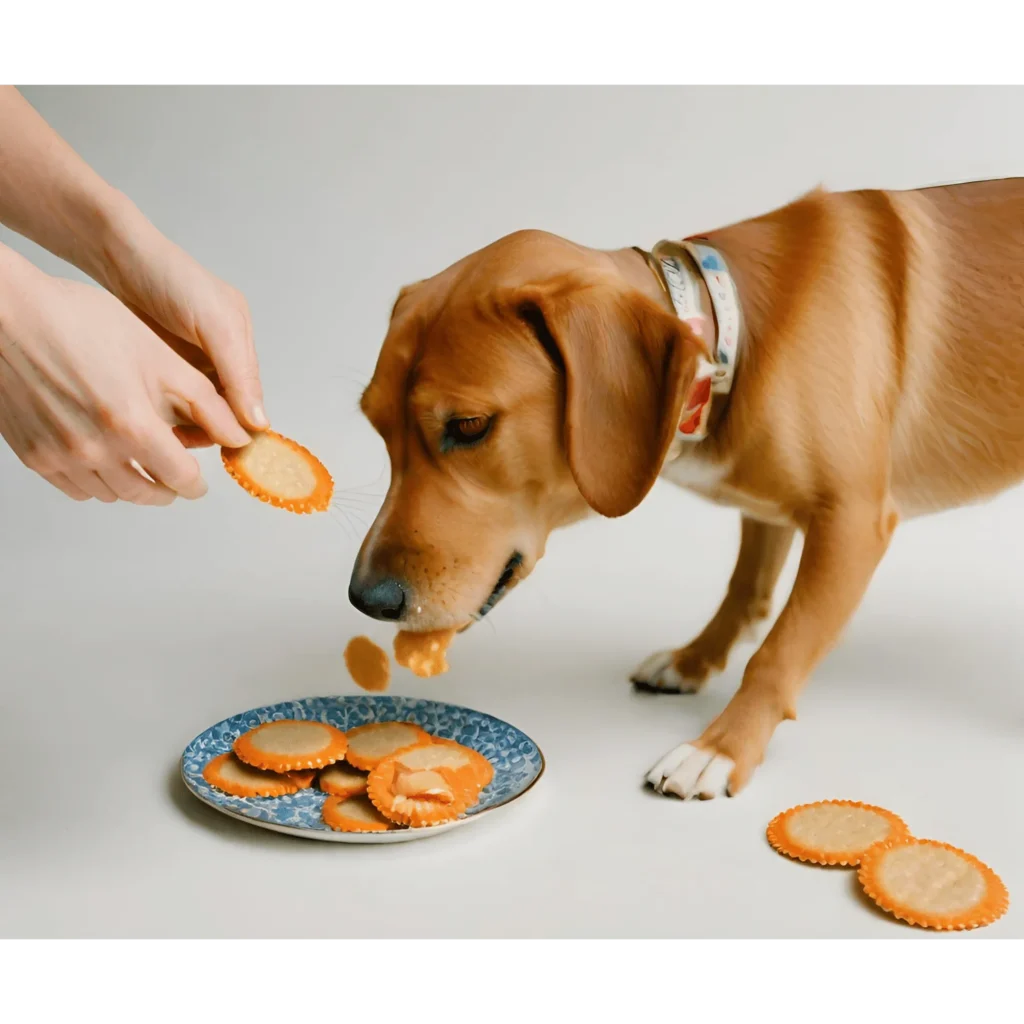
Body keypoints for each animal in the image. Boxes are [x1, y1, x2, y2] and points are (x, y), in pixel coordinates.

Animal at [350, 182, 1024, 798]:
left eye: (469, 426)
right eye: (376, 427)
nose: (366, 599)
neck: (732, 327)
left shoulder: (853, 523)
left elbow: (778, 651)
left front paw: (721, 746)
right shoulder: (770, 510)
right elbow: (746, 589)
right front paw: (694, 660)